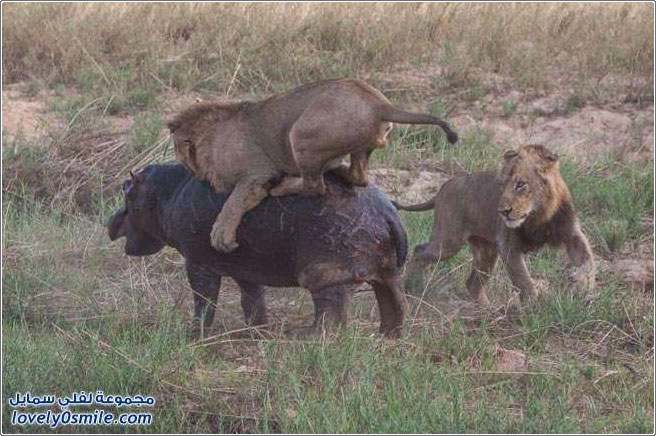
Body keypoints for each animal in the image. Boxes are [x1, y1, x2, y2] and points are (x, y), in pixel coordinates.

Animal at [167, 78, 458, 252]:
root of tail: (380, 105)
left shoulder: (257, 174)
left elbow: (234, 201)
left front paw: (221, 235)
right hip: (358, 148)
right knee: (358, 177)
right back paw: (336, 168)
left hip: (301, 135)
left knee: (315, 185)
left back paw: (285, 186)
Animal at [394, 144, 595, 306]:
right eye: (501, 185)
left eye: (520, 184)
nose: (503, 211)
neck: (538, 216)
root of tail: (445, 185)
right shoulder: (508, 245)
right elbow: (523, 279)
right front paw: (531, 306)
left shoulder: (571, 233)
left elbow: (588, 259)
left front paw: (581, 285)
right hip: (448, 242)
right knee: (419, 251)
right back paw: (410, 287)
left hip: (486, 251)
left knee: (473, 284)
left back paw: (487, 311)